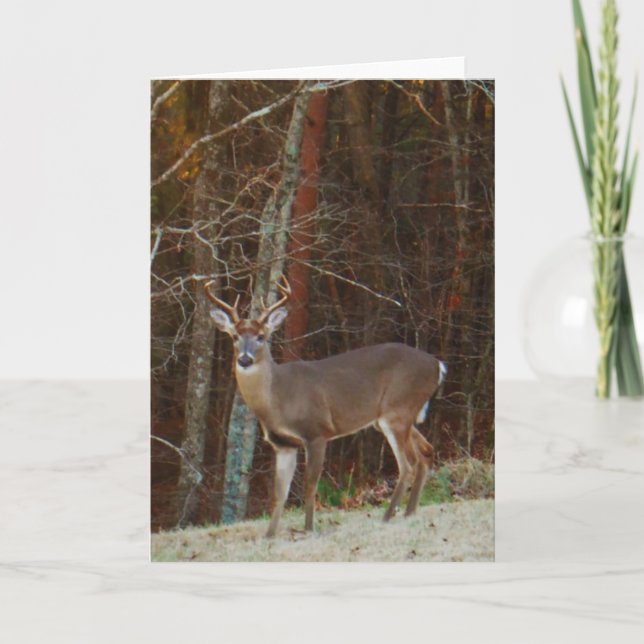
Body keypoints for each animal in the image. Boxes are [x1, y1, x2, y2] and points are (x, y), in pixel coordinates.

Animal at [206, 276, 447, 538]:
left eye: (261, 336)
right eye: (234, 337)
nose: (245, 359)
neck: (278, 399)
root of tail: (437, 365)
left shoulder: (317, 432)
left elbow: (310, 486)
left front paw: (308, 529)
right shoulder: (283, 444)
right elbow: (279, 494)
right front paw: (269, 536)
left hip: (397, 410)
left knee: (408, 464)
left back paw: (387, 517)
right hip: (396, 416)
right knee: (426, 452)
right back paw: (408, 512)